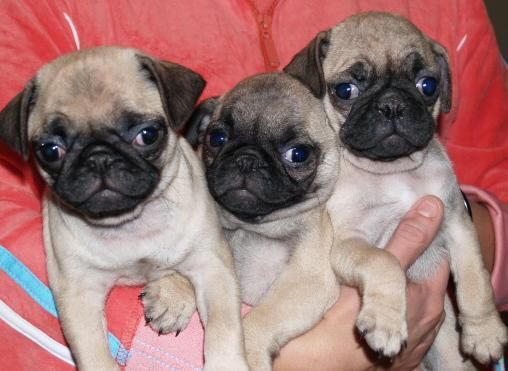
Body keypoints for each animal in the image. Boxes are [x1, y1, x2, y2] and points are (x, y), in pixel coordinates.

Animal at [0, 45, 248, 371]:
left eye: (147, 135)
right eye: (51, 151)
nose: (99, 157)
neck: (131, 223)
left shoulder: (213, 267)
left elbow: (224, 328)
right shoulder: (79, 291)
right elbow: (93, 352)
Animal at [145, 73, 344, 371]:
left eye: (298, 154)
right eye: (217, 137)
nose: (247, 159)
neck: (250, 225)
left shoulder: (307, 281)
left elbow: (258, 322)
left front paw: (245, 355)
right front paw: (174, 293)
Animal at [286, 10, 508, 370]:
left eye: (428, 86)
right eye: (345, 90)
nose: (392, 104)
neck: (393, 171)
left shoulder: (458, 225)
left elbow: (476, 278)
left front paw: (485, 331)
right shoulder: (349, 243)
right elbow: (383, 261)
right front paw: (386, 324)